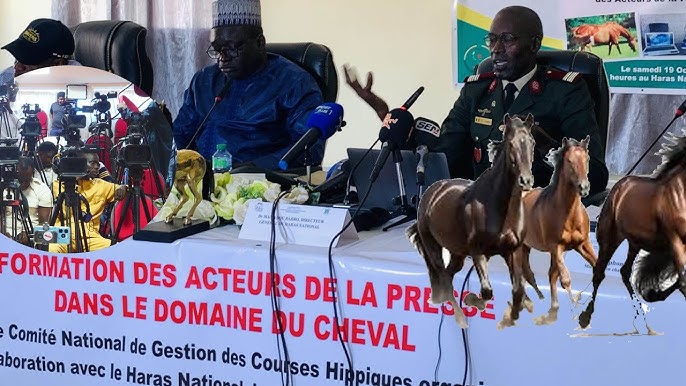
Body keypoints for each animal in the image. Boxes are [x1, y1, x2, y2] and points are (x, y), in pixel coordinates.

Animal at [408, 113, 536, 328]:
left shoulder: (510, 252)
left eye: (532, 143)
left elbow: (518, 290)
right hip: (433, 246)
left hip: (457, 254)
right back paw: (460, 318)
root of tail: (432, 191)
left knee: (448, 276)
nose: (525, 181)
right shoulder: (478, 253)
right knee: (443, 279)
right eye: (510, 144)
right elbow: (486, 292)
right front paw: (472, 301)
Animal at [508, 137, 600, 328]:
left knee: (530, 273)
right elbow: (565, 279)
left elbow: (595, 268)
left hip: (527, 246)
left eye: (587, 159)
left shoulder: (583, 244)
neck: (568, 214)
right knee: (518, 273)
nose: (584, 187)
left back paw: (541, 300)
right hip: (518, 248)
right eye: (569, 161)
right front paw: (575, 308)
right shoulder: (556, 248)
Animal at [584, 133, 686, 328]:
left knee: (625, 271)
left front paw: (653, 294)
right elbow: (683, 282)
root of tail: (621, 184)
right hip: (610, 238)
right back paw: (586, 317)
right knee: (599, 272)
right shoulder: (676, 242)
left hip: (635, 242)